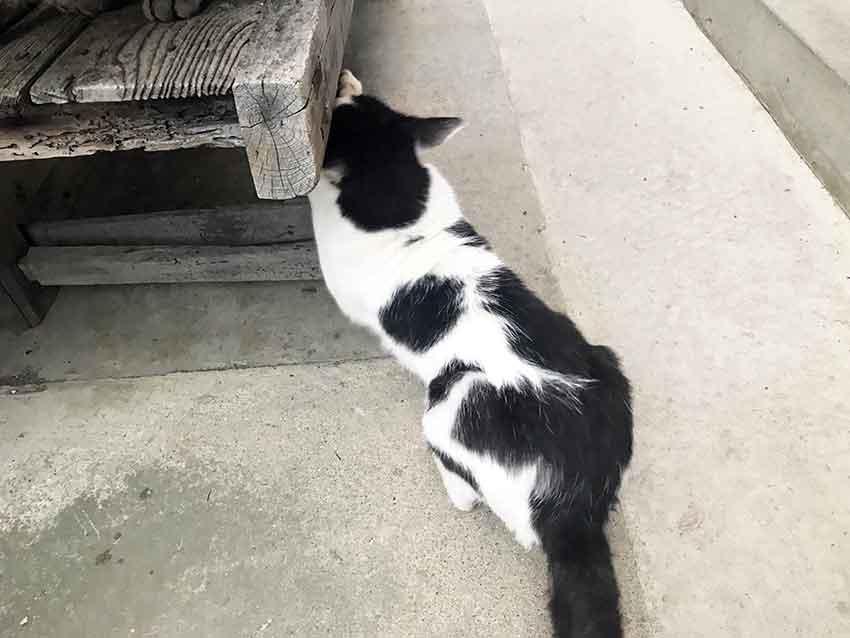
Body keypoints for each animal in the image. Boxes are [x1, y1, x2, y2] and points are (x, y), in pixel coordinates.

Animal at [308, 70, 634, 638]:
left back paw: (452, 484)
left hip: (453, 405)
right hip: (607, 362)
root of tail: (576, 505)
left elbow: (315, 207)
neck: (397, 193)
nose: (343, 80)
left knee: (464, 490)